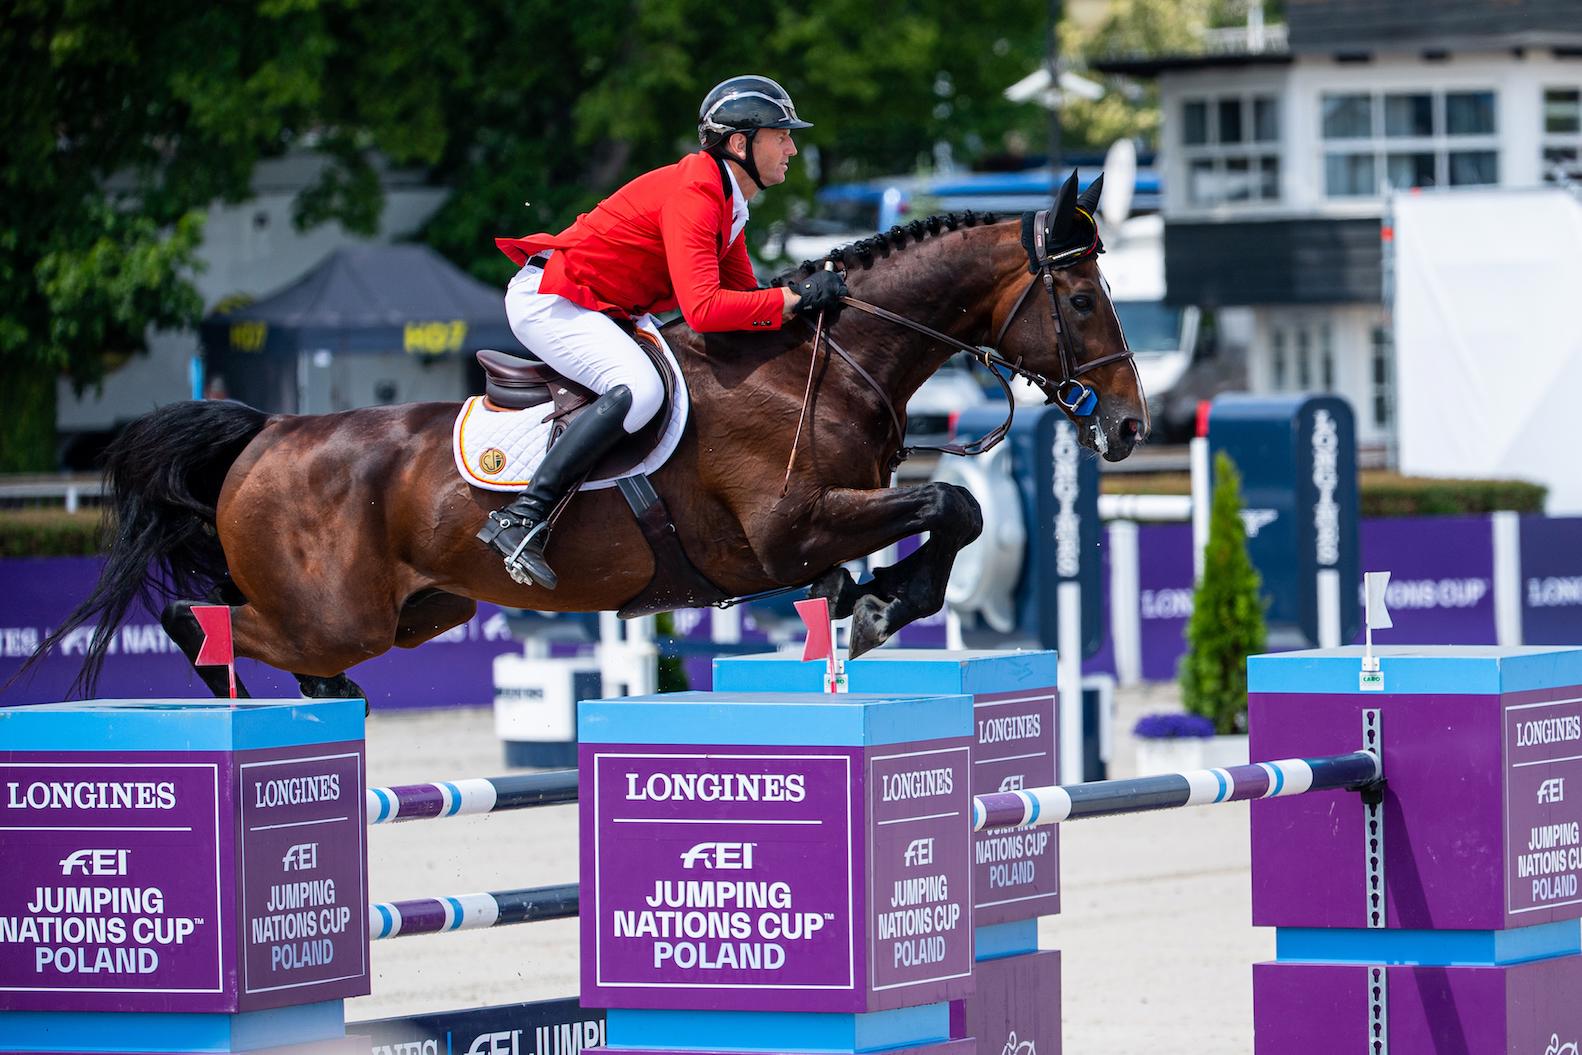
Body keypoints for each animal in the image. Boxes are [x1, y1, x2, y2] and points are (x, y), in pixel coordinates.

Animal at [30, 171, 1145, 702]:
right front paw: (876, 608)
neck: (826, 364)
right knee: (201, 620)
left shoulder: (829, 523)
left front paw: (871, 605)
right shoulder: (789, 528)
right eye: (1084, 299)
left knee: (243, 623)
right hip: (333, 612)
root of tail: (264, 435)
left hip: (418, 609)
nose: (1132, 422)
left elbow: (945, 522)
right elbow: (949, 502)